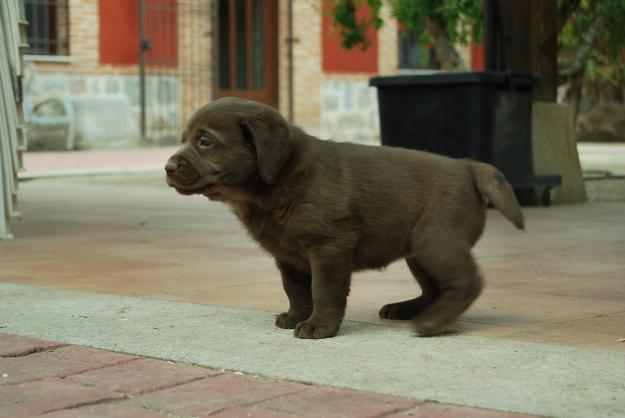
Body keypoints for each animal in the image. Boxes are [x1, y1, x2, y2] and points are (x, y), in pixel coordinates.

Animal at [166, 98, 520, 340]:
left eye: (205, 141)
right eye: (183, 138)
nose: (167, 168)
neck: (274, 186)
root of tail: (466, 165)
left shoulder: (329, 247)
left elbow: (324, 289)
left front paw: (319, 326)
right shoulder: (288, 257)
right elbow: (296, 290)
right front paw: (295, 317)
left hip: (436, 240)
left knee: (466, 283)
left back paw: (434, 321)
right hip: (419, 250)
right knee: (435, 288)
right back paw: (406, 309)